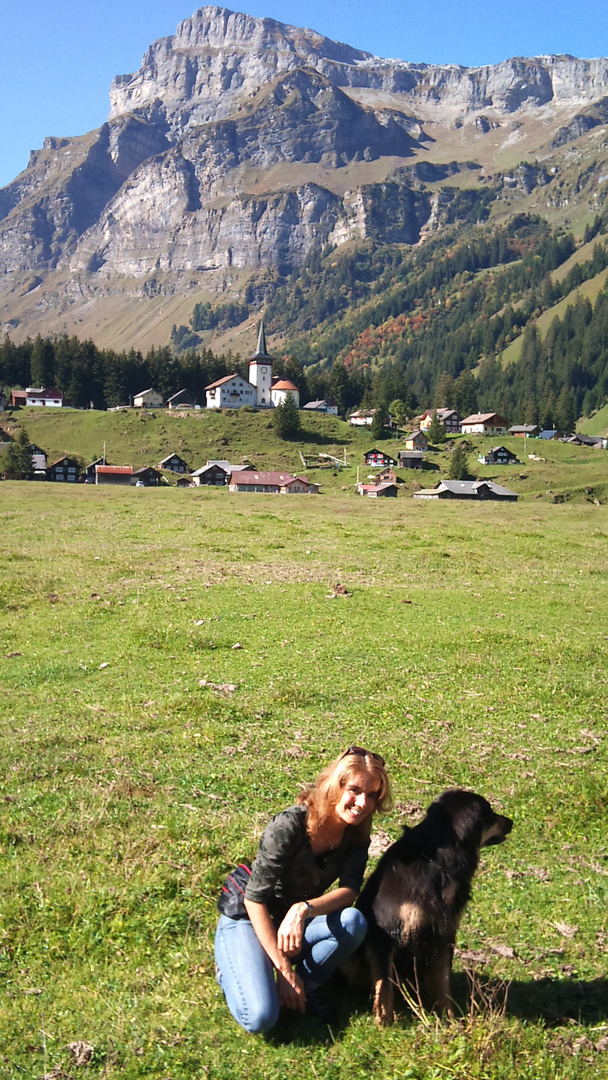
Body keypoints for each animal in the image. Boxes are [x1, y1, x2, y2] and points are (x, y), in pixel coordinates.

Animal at [356, 790, 514, 1023]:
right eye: (490, 814)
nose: (511, 822)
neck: (435, 862)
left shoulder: (443, 932)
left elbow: (442, 981)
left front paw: (448, 1017)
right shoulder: (385, 933)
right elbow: (384, 984)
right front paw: (385, 1021)